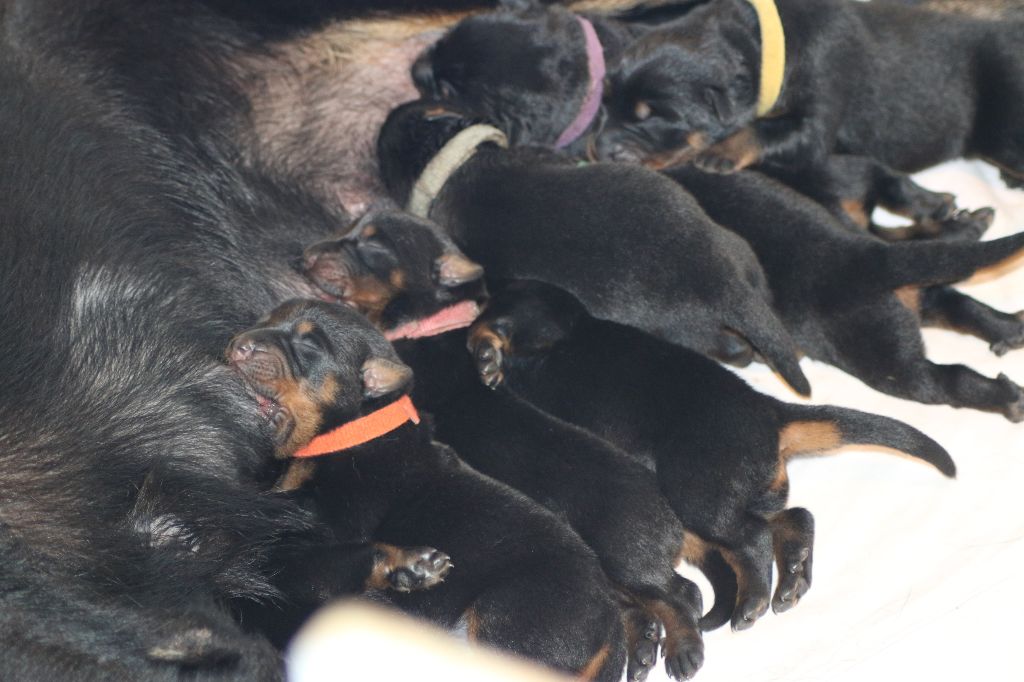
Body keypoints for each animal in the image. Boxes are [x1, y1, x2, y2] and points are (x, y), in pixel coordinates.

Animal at [227, 299, 622, 679]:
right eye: (266, 320)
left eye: (309, 344)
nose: (239, 345)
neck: (357, 430)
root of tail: (611, 623)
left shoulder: (328, 528)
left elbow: (319, 560)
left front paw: (405, 566)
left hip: (510, 616)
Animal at [468, 278, 954, 630]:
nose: (474, 322)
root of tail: (771, 412)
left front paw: (487, 356)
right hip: (740, 493)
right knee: (792, 518)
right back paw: (792, 577)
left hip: (699, 492)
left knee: (752, 538)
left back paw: (752, 602)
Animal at [598, 0, 1024, 186]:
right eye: (604, 105)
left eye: (656, 118)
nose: (599, 151)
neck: (767, 43)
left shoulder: (820, 99)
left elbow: (767, 129)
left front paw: (720, 152)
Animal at [667, 164, 1024, 419]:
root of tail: (867, 257)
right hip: (913, 298)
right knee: (959, 303)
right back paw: (1009, 325)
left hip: (888, 361)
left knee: (946, 380)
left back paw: (1010, 399)